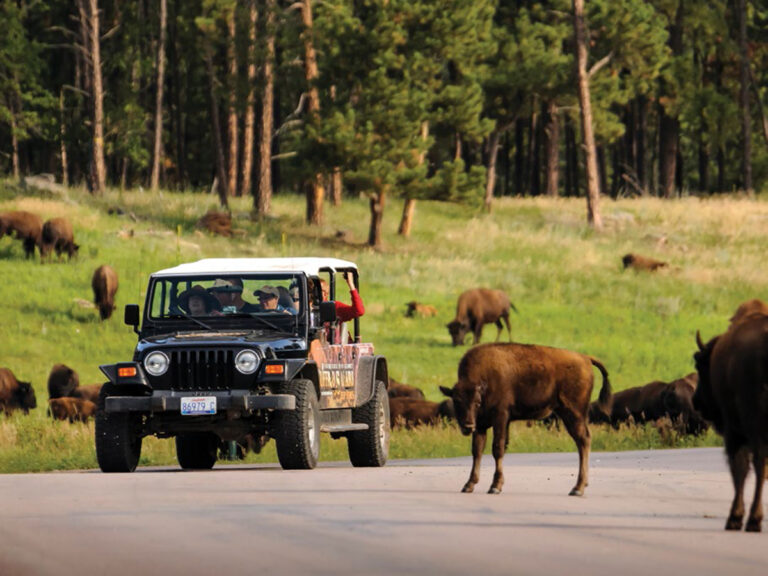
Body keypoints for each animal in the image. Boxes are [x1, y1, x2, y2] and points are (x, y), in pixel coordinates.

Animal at [440, 342, 611, 495]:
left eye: (477, 402)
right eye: (456, 401)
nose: (468, 426)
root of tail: (585, 358)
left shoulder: (500, 417)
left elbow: (497, 448)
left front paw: (495, 486)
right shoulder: (481, 425)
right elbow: (477, 451)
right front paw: (469, 485)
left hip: (574, 413)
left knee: (583, 441)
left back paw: (577, 488)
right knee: (583, 441)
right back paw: (581, 486)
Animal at [694, 312, 768, 532]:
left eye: (699, 366)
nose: (696, 401)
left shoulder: (733, 432)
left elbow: (739, 469)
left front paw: (735, 518)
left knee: (758, 464)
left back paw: (753, 520)